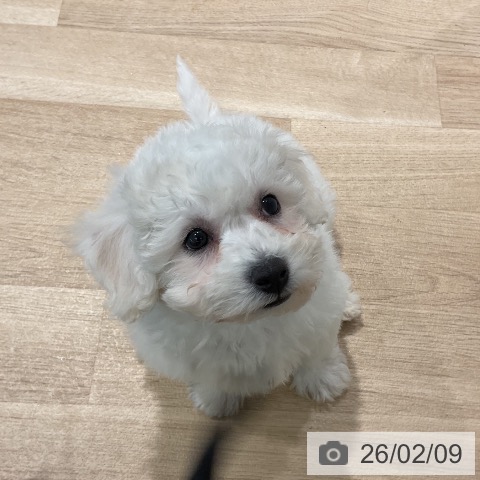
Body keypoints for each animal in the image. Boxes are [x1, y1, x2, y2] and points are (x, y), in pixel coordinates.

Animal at [75, 57, 361, 418]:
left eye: (271, 203)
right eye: (195, 239)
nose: (272, 272)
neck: (248, 323)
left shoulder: (317, 320)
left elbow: (317, 348)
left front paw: (323, 377)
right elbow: (214, 379)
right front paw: (216, 401)